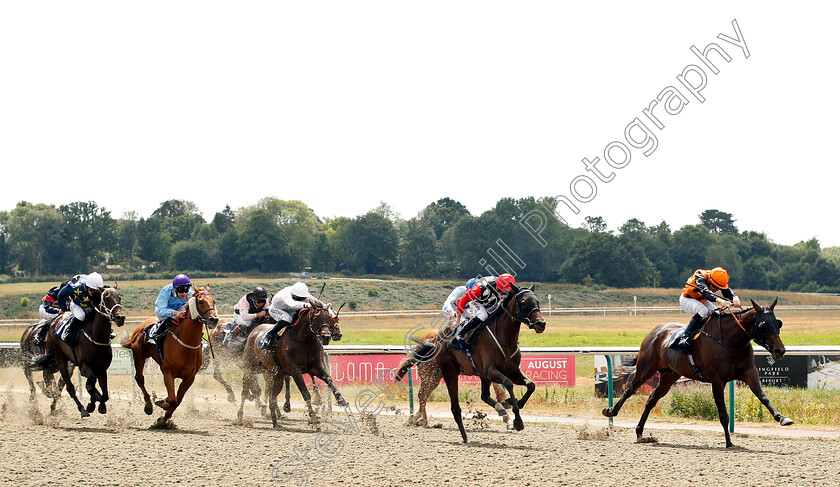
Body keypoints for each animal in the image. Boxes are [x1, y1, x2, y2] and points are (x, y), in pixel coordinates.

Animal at [28, 288, 125, 418]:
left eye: (119, 298)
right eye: (107, 298)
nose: (120, 317)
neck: (96, 337)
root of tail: (54, 322)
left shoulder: (102, 369)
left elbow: (104, 394)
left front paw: (101, 405)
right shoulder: (84, 366)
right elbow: (90, 385)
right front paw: (90, 405)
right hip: (60, 359)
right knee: (69, 387)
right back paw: (82, 409)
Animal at [123, 284, 220, 426]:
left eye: (214, 301)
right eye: (201, 301)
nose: (214, 319)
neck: (186, 343)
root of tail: (140, 326)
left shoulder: (189, 378)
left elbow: (178, 400)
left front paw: (163, 417)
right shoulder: (168, 373)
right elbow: (173, 400)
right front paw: (161, 404)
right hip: (139, 356)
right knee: (139, 378)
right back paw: (148, 405)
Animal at [394, 284, 544, 444]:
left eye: (537, 301)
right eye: (523, 302)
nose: (541, 324)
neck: (504, 340)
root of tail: (435, 341)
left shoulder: (512, 371)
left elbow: (530, 385)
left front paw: (513, 404)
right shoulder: (491, 372)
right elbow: (508, 384)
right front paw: (516, 420)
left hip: (447, 376)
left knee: (482, 396)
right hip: (442, 373)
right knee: (430, 398)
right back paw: (431, 424)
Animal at [600, 300, 792, 448]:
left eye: (778, 322)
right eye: (763, 325)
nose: (779, 350)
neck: (731, 341)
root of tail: (656, 330)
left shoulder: (749, 372)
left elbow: (763, 396)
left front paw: (782, 418)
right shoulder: (717, 381)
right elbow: (723, 413)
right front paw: (729, 442)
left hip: (669, 375)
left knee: (651, 399)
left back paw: (640, 433)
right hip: (646, 369)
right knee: (630, 389)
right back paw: (610, 411)